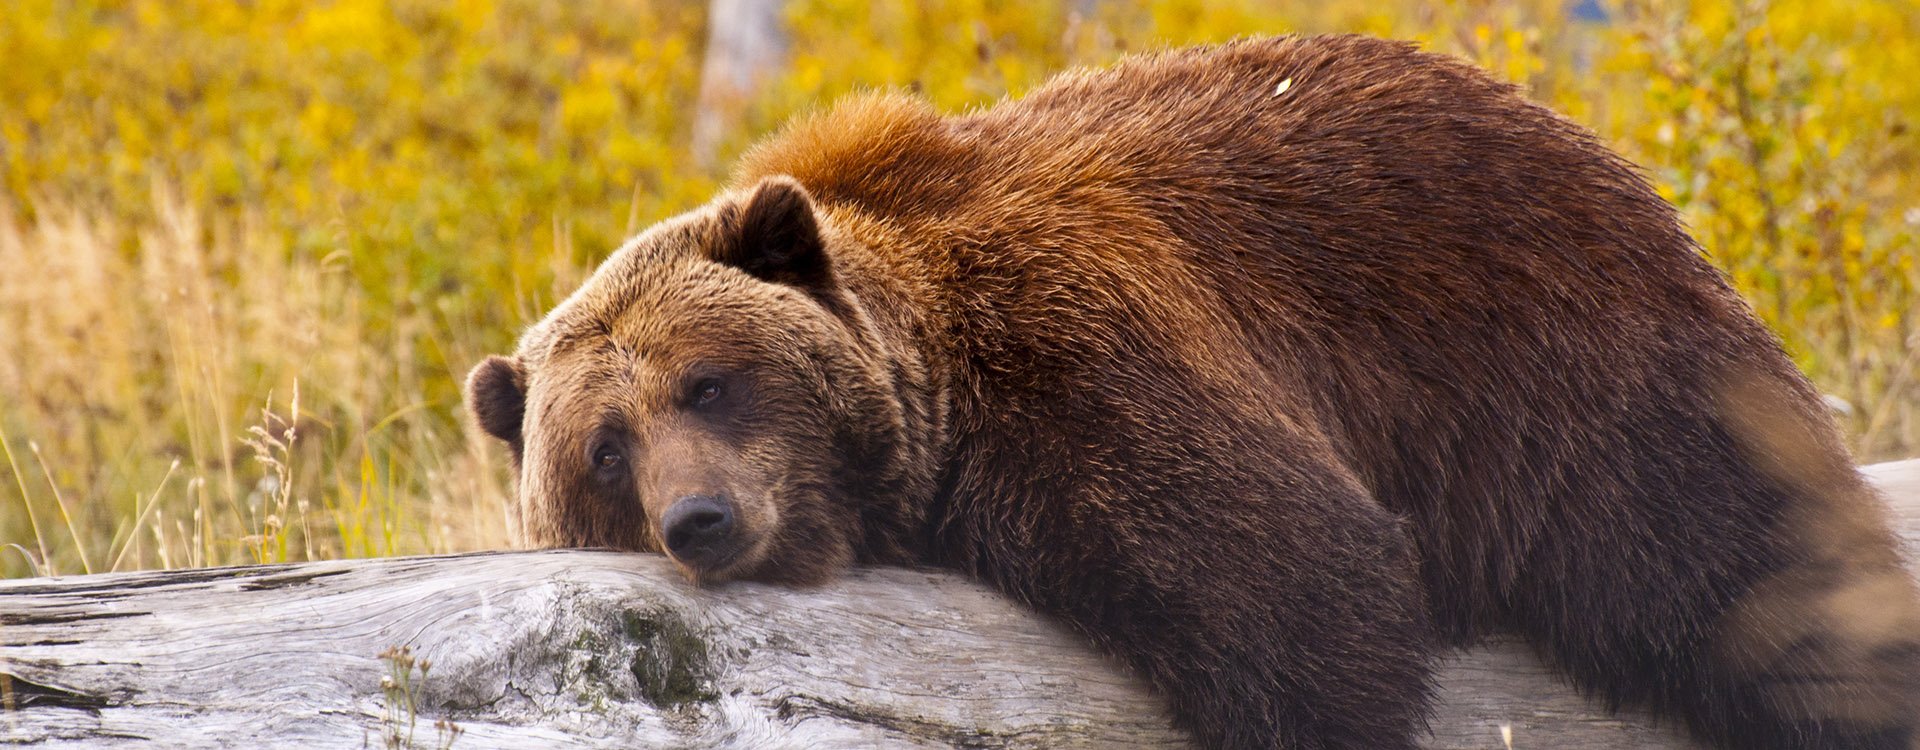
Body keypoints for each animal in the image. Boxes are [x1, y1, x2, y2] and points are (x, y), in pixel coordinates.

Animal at [468, 35, 1920, 750]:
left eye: (710, 381)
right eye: (604, 449)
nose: (701, 520)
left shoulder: (1085, 350)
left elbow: (1291, 576)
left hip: (1570, 371)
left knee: (1749, 577)